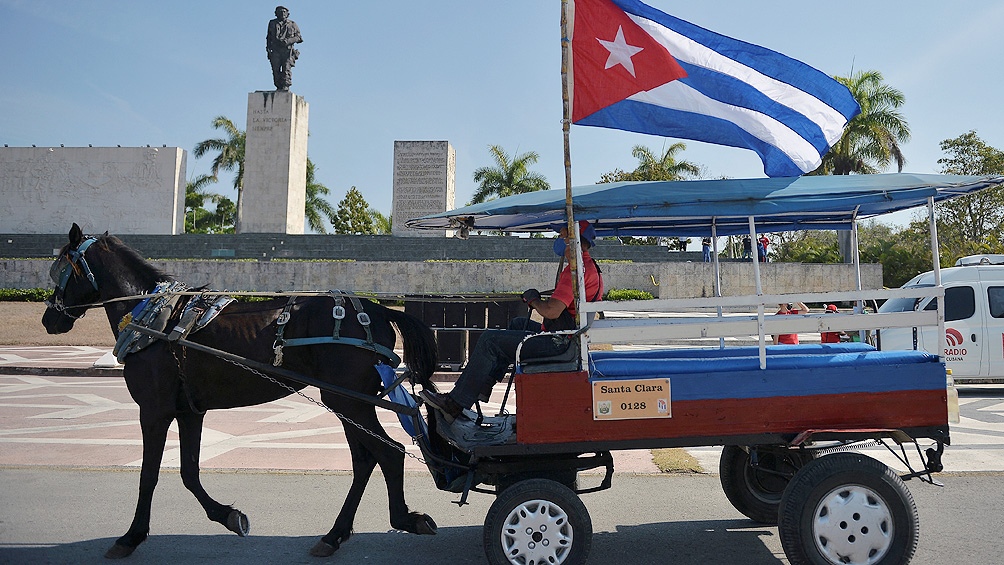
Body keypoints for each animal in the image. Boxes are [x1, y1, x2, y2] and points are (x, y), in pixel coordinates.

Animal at [40, 224, 439, 557]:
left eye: (61, 270)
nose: (49, 319)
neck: (154, 320)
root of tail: (377, 309)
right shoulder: (189, 410)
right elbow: (188, 472)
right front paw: (228, 516)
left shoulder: (153, 410)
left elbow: (149, 474)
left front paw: (131, 536)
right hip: (349, 403)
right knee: (366, 460)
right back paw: (335, 535)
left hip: (347, 400)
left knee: (389, 453)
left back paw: (403, 519)